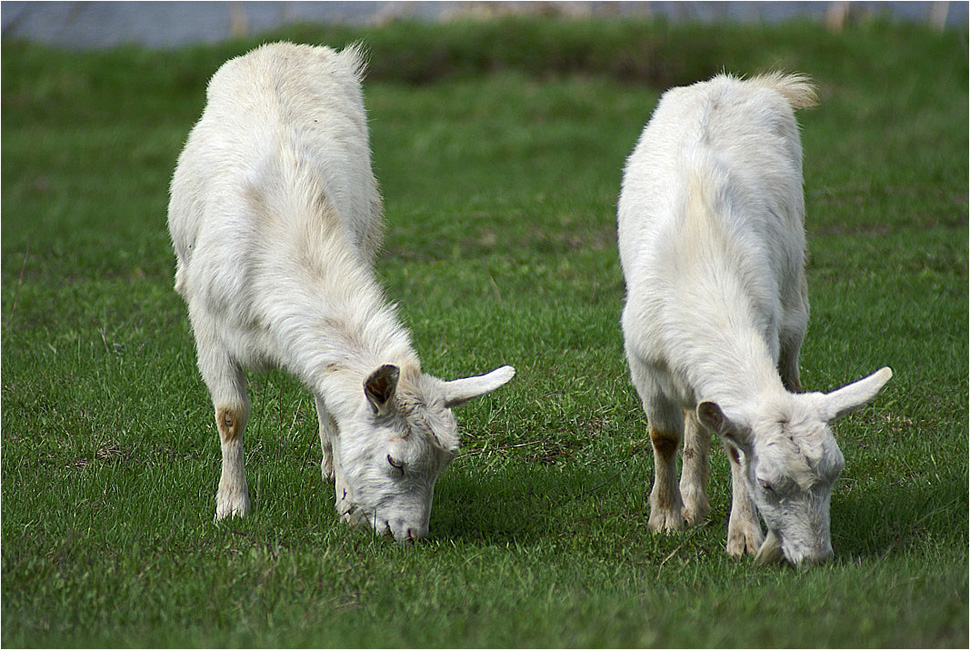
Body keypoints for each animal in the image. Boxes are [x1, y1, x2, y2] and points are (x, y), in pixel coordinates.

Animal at [168, 41, 516, 540]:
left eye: (443, 465)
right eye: (395, 461)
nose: (413, 535)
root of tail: (283, 47)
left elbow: (333, 411)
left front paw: (345, 499)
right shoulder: (209, 326)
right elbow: (230, 415)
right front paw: (232, 505)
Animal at [616, 73, 888, 564]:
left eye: (834, 476)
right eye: (769, 484)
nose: (817, 558)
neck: (703, 272)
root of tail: (740, 82)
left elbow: (730, 444)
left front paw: (742, 536)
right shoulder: (643, 363)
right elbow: (663, 436)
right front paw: (665, 517)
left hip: (794, 303)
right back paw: (691, 502)